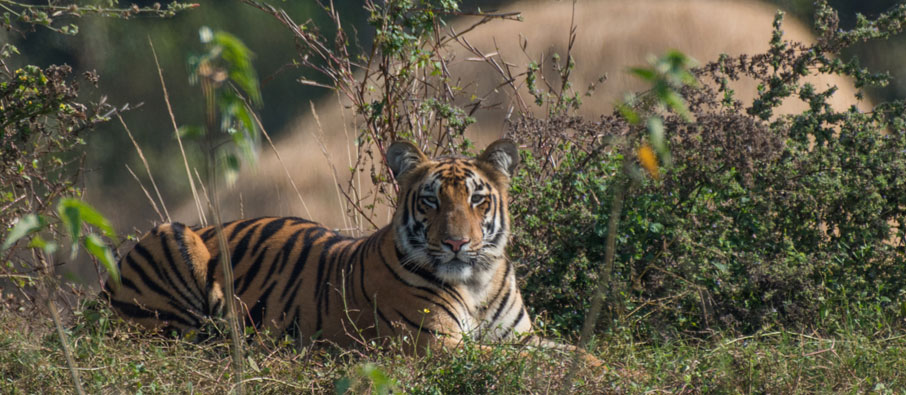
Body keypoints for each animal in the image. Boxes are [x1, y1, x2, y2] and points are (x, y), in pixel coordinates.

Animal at [104, 138, 592, 362]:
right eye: (431, 201)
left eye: (477, 200)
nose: (457, 243)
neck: (476, 281)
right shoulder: (436, 345)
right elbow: (522, 362)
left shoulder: (520, 335)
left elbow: (573, 352)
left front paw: (602, 367)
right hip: (172, 236)